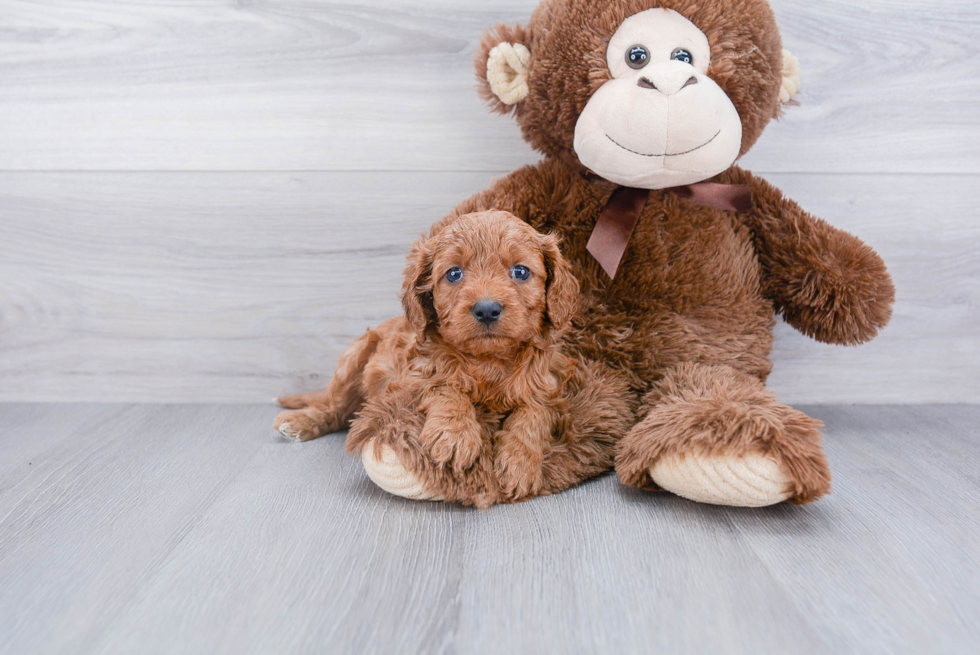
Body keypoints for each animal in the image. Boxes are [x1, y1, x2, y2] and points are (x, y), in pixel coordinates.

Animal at [276, 210, 580, 502]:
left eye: (520, 271)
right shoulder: (414, 375)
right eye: (454, 273)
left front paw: (520, 461)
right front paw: (455, 435)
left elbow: (533, 413)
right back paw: (300, 422)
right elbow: (445, 387)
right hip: (354, 356)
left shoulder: (550, 386)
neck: (488, 359)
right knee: (334, 407)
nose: (486, 309)